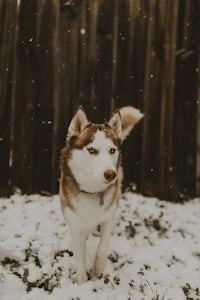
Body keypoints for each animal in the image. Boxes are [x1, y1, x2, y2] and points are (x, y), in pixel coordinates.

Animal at [58, 106, 143, 284]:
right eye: (92, 150)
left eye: (112, 150)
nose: (111, 174)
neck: (92, 192)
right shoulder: (76, 227)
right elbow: (80, 260)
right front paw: (83, 284)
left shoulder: (109, 217)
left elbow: (102, 247)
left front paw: (98, 271)